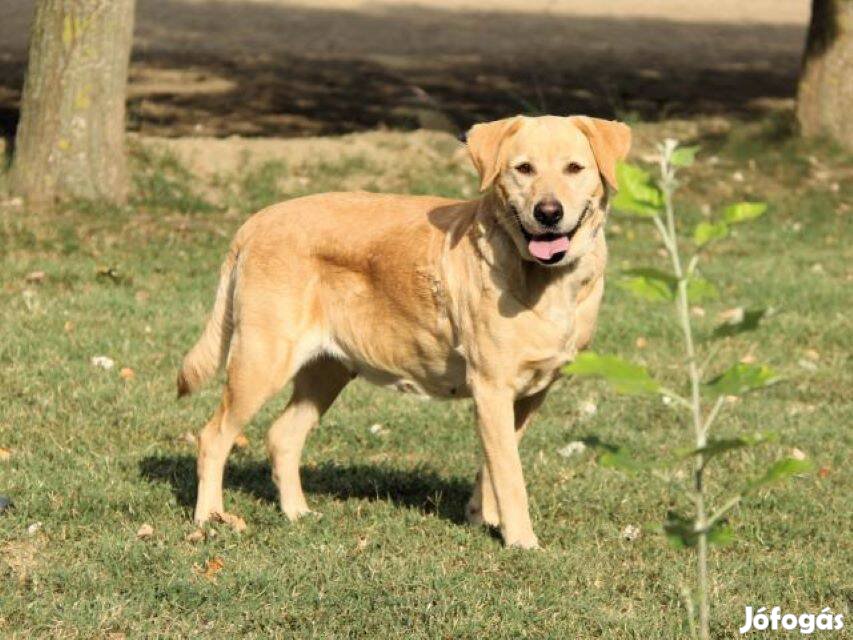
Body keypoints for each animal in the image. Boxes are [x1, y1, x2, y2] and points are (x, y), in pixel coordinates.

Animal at [178, 114, 632, 544]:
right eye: (524, 168)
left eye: (574, 168)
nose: (548, 213)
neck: (545, 279)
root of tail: (254, 222)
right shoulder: (491, 388)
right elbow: (511, 477)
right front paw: (521, 541)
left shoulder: (528, 394)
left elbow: (493, 467)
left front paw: (482, 518)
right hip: (261, 362)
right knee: (213, 437)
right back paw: (209, 518)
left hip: (327, 370)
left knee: (282, 436)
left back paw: (297, 513)